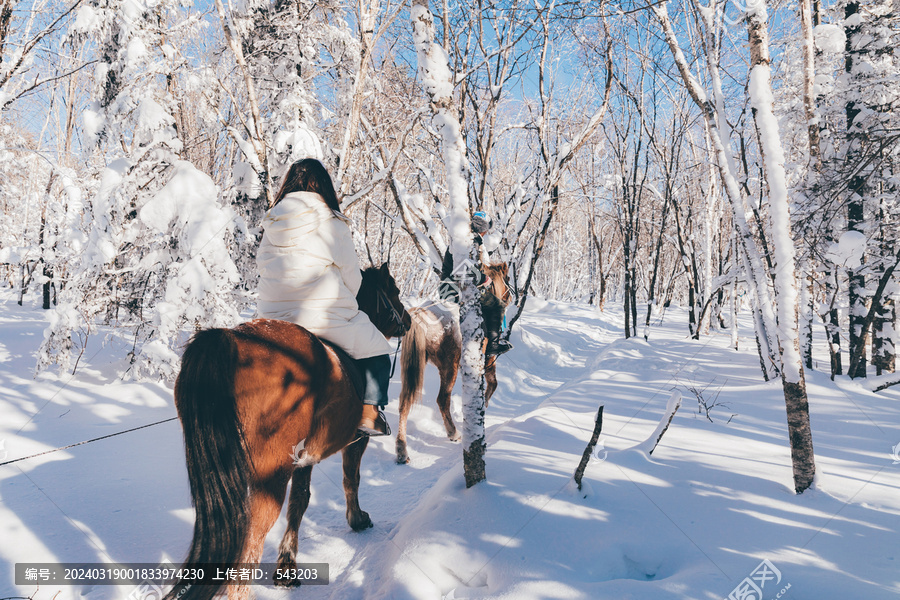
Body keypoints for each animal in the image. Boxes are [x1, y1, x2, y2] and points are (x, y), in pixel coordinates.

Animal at [165, 264, 412, 600]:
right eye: (394, 291)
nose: (408, 321)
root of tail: (231, 339)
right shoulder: (356, 441)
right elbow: (351, 479)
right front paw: (357, 519)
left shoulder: (304, 458)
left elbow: (300, 502)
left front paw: (287, 568)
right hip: (271, 474)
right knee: (252, 540)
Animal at [396, 262, 510, 464]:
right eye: (508, 278)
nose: (510, 297)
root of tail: (421, 314)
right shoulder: (488, 360)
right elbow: (493, 384)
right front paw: (484, 405)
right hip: (450, 367)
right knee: (442, 399)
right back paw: (453, 432)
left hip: (412, 368)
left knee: (405, 403)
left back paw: (402, 450)